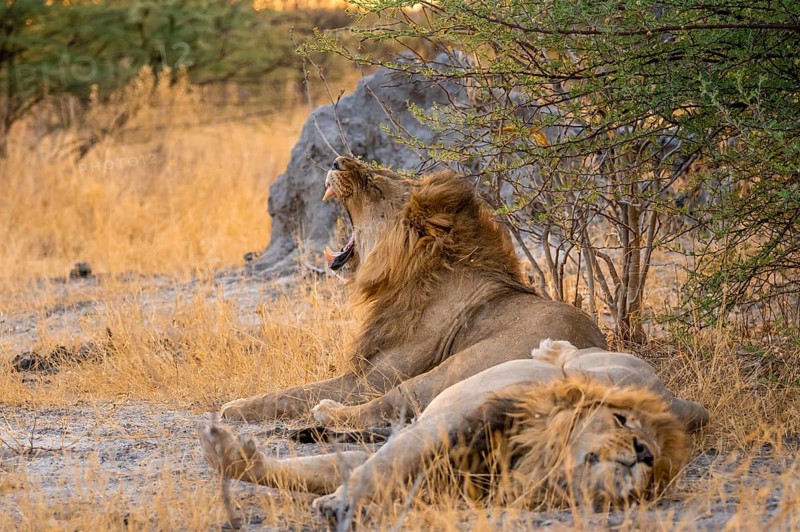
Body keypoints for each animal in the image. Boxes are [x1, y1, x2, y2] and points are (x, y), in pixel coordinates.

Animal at [201, 339, 708, 520]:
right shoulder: (434, 433)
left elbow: (359, 470)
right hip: (607, 371)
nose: (642, 451)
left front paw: (338, 503)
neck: (540, 455)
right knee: (570, 361)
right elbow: (362, 468)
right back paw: (550, 350)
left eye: (655, 469)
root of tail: (675, 397)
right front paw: (230, 455)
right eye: (620, 421)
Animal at [221, 156, 609, 423]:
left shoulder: (370, 380)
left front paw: (235, 406)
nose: (337, 161)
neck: (414, 273)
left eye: (375, 184)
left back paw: (328, 412)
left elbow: (293, 393)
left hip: (459, 367)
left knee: (390, 405)